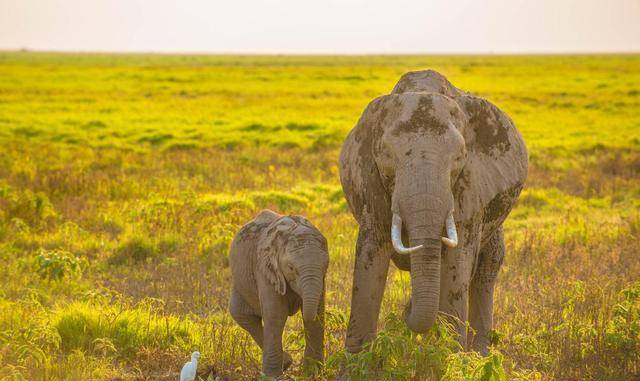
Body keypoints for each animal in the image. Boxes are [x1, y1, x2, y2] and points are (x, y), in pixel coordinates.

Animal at [229, 208, 330, 378]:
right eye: (291, 268)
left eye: (326, 265)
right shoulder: (265, 269)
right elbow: (276, 315)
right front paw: (271, 377)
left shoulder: (321, 280)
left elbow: (318, 314)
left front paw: (311, 373)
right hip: (240, 281)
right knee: (241, 315)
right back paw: (286, 363)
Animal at [338, 69, 528, 354]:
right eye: (387, 156)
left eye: (459, 158)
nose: (404, 311)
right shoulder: (370, 180)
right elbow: (371, 254)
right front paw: (355, 359)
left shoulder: (470, 187)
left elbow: (457, 262)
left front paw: (448, 356)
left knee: (487, 269)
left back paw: (480, 354)